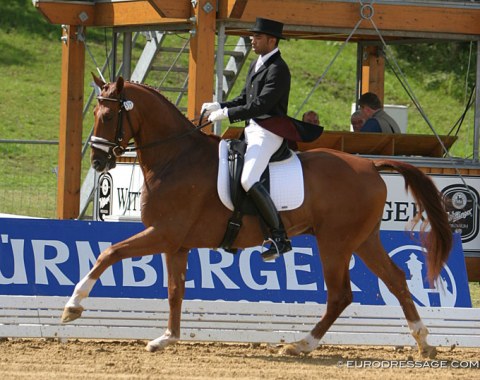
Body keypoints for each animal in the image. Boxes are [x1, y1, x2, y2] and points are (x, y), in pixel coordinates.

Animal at [61, 75, 454, 358]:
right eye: (94, 114)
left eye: (108, 116)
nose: (98, 161)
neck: (176, 158)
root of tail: (371, 165)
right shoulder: (176, 244)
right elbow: (175, 290)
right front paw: (167, 338)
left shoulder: (163, 233)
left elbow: (109, 253)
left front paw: (73, 306)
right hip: (363, 240)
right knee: (397, 280)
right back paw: (424, 343)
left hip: (336, 243)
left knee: (340, 295)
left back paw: (301, 345)